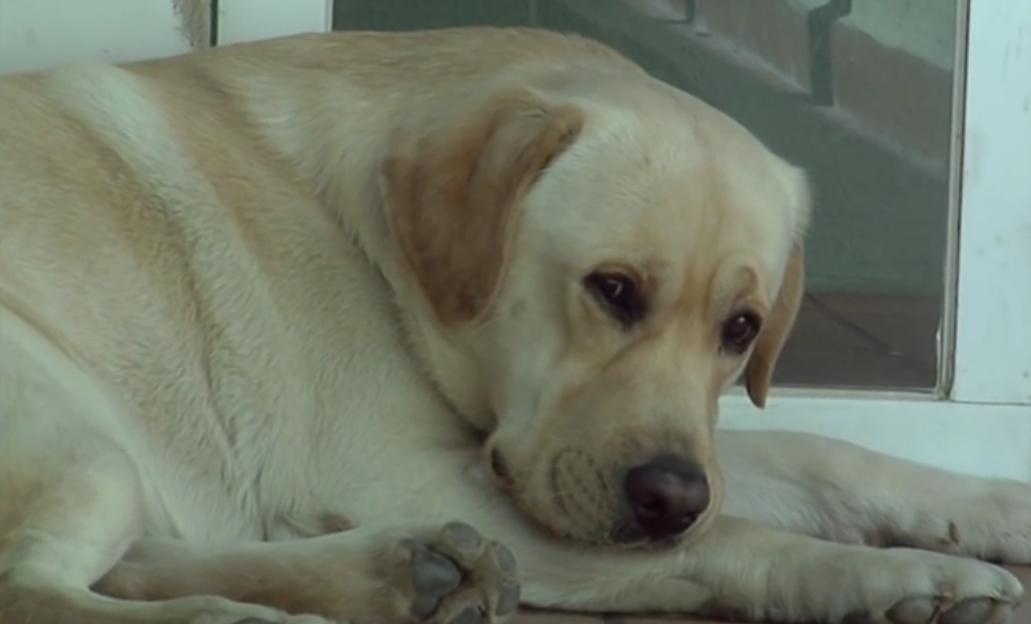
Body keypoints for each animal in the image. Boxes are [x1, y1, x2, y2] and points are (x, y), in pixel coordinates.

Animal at [2, 27, 1031, 622]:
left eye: (740, 327)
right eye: (613, 289)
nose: (669, 498)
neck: (376, 247)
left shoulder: (670, 447)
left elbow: (821, 455)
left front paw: (989, 507)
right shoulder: (403, 473)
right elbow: (735, 539)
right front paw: (903, 580)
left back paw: (405, 574)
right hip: (81, 437)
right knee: (36, 592)